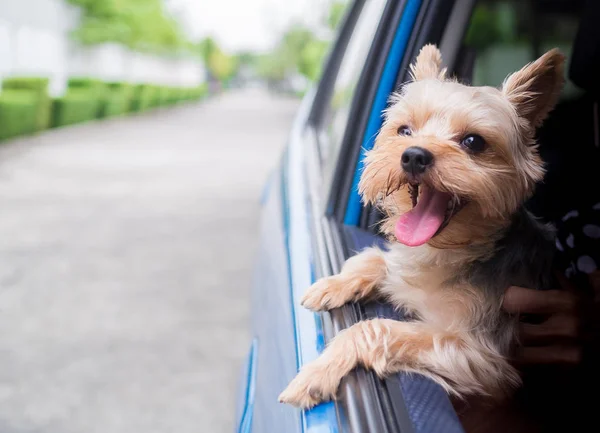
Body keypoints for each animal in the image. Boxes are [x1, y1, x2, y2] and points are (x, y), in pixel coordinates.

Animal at [278, 44, 564, 408]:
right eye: (404, 131)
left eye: (474, 142)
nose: (413, 155)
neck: (449, 252)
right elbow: (374, 259)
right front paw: (333, 283)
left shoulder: (477, 354)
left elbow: (373, 328)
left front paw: (317, 372)